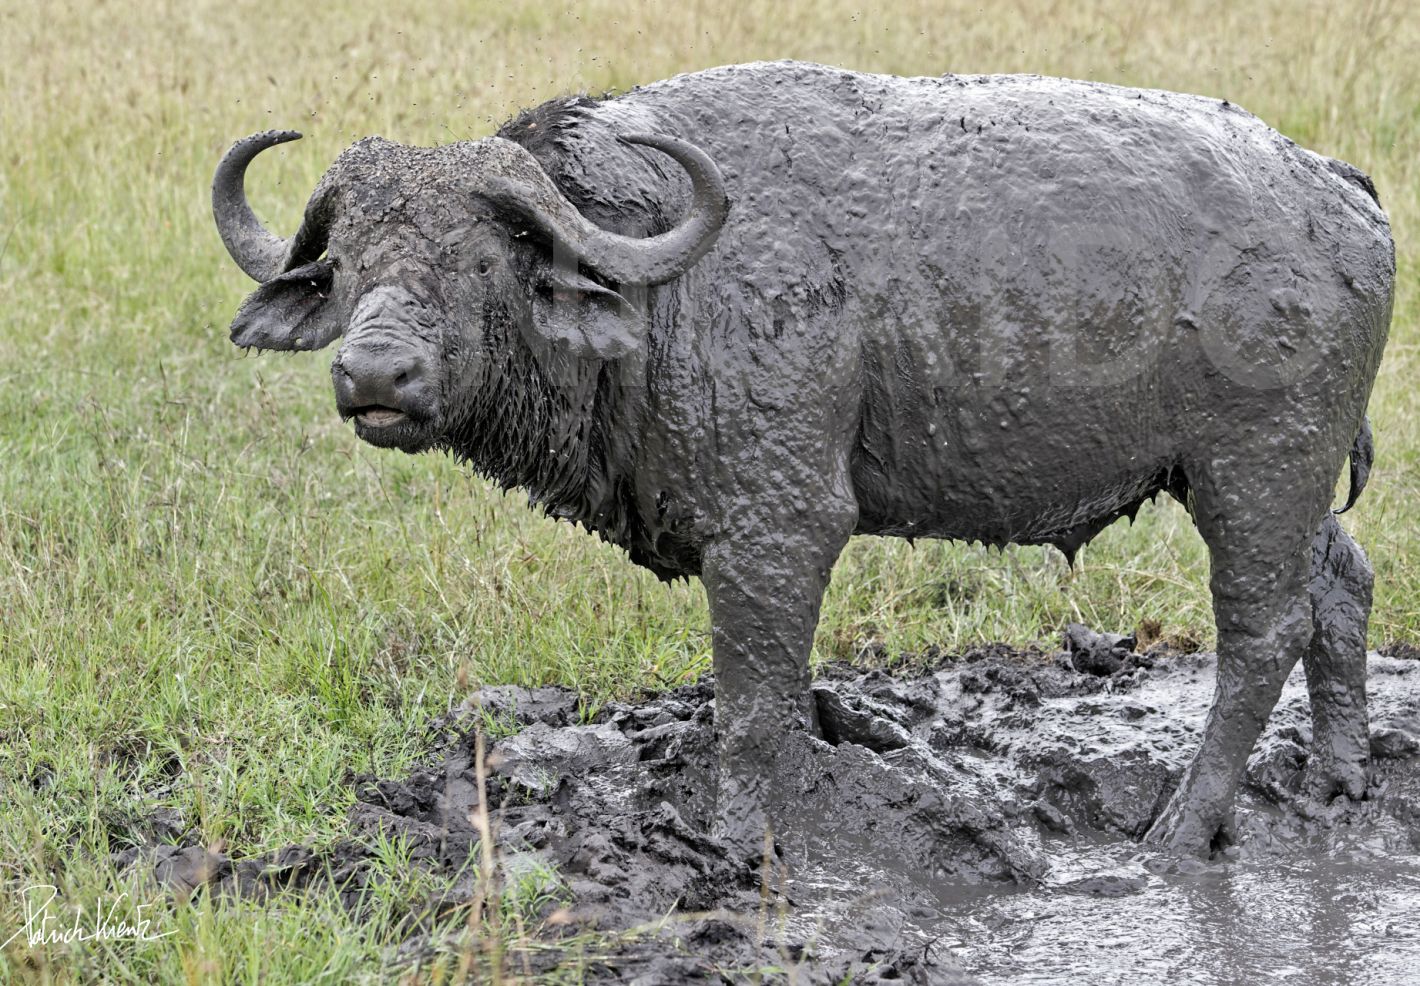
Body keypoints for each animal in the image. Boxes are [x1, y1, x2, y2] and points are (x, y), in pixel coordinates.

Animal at [215, 60, 1391, 858]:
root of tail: (1338, 188)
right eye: (347, 261)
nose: (373, 374)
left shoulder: (776, 528)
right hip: (1281, 483)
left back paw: (1182, 827)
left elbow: (748, 707)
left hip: (1252, 473)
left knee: (1265, 632)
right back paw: (1338, 781)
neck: (665, 288)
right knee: (1341, 586)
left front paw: (737, 837)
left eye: (479, 260)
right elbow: (771, 693)